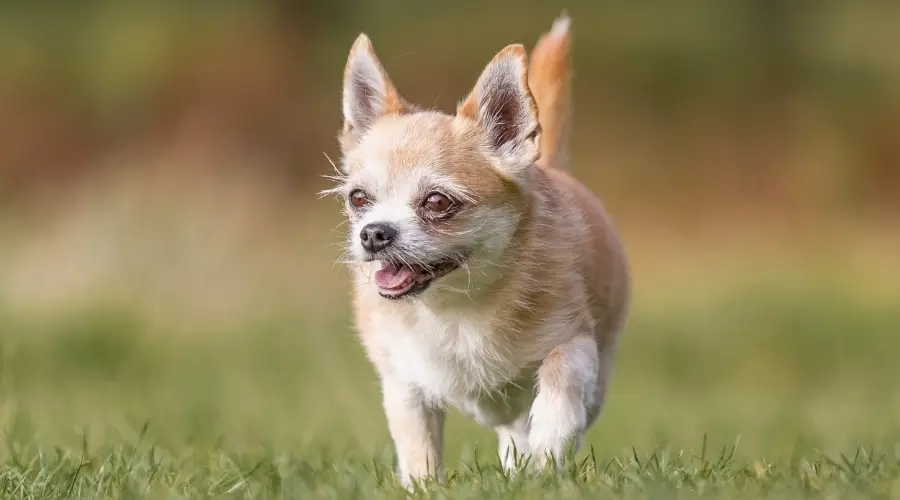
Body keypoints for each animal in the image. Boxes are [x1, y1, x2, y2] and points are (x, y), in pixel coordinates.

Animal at [326, 14, 628, 484]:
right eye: (358, 199)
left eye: (437, 202)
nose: (374, 233)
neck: (456, 307)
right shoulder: (404, 384)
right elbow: (418, 448)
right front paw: (423, 487)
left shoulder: (575, 341)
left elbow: (559, 383)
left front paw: (551, 445)